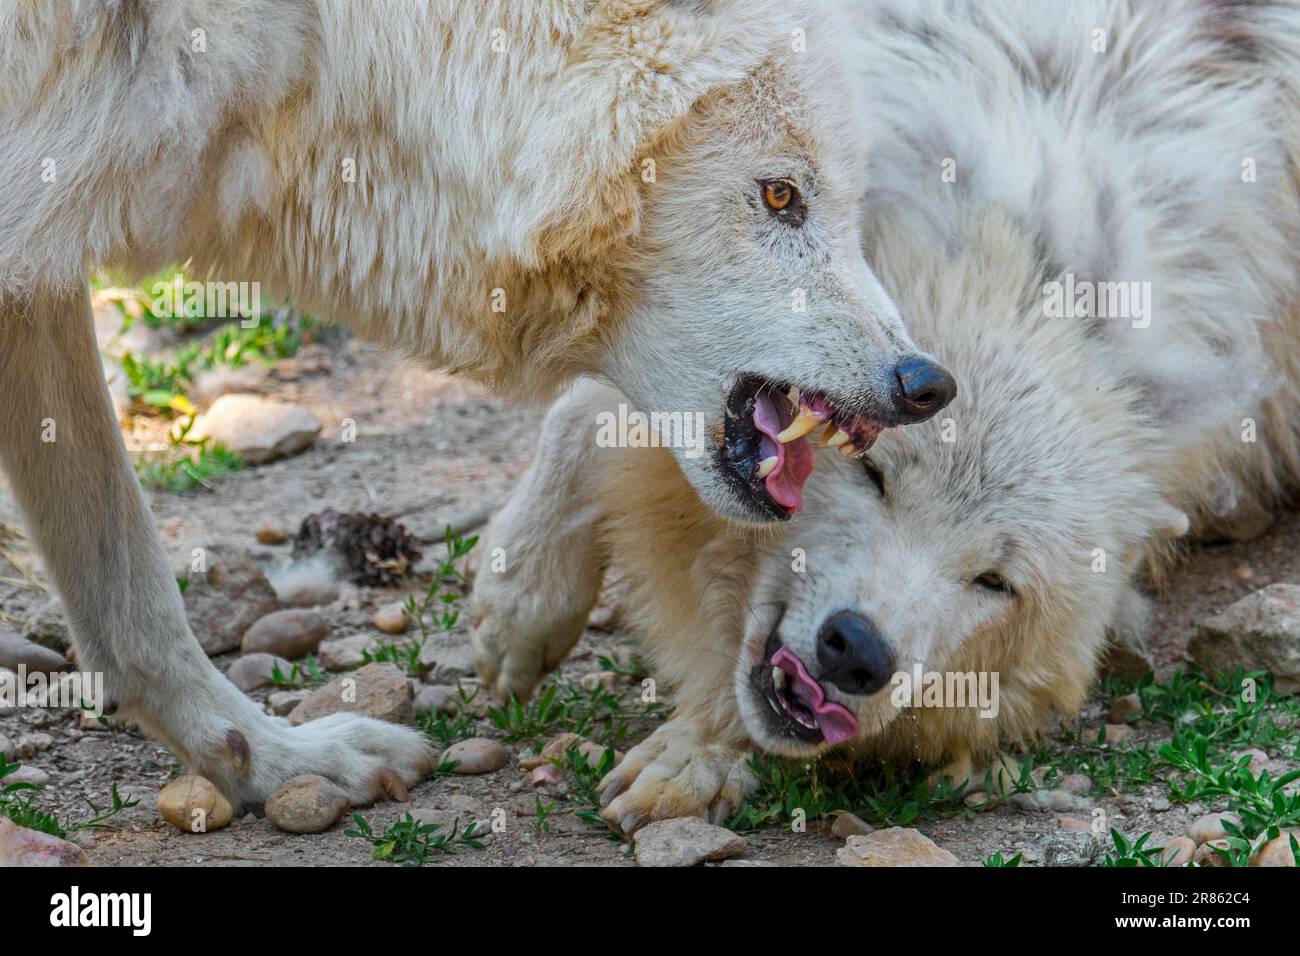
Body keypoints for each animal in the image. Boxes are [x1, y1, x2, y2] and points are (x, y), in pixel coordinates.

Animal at [0, 0, 955, 806]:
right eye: (781, 195)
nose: (927, 383)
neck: (316, 42)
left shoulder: (37, 233)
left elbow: (127, 590)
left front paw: (273, 763)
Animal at [471, 0, 1300, 830]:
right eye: (872, 474)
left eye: (996, 582)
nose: (859, 651)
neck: (1035, 261)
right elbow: (587, 409)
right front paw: (521, 603)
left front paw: (698, 750)